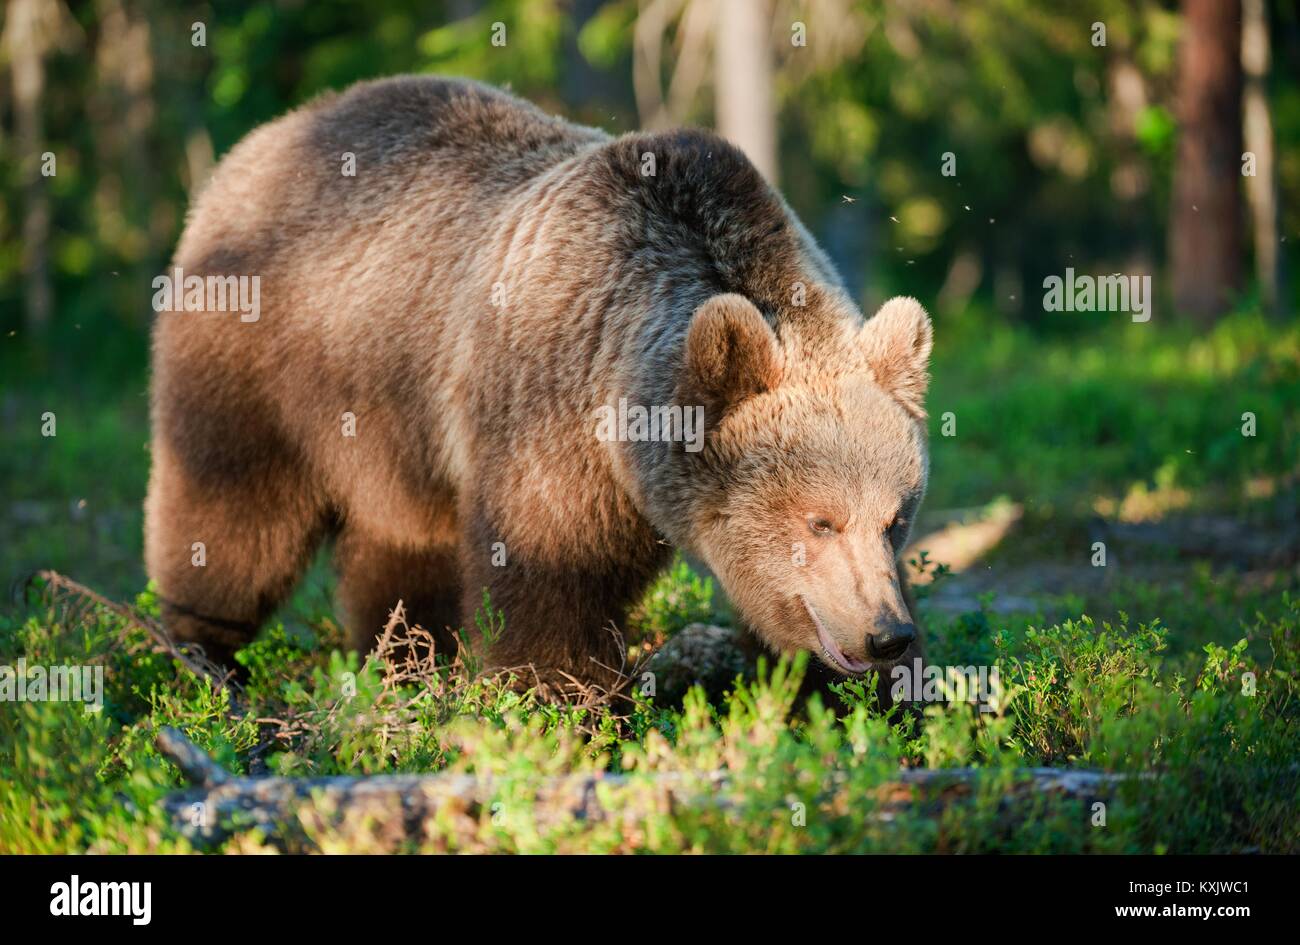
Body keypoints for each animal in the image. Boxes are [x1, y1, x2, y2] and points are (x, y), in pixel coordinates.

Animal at [147, 75, 930, 696]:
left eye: (896, 517)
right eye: (819, 520)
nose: (884, 633)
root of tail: (259, 141)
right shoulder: (549, 409)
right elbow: (549, 580)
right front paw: (566, 702)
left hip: (391, 426)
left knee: (399, 541)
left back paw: (406, 655)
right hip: (262, 356)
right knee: (234, 504)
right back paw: (204, 654)